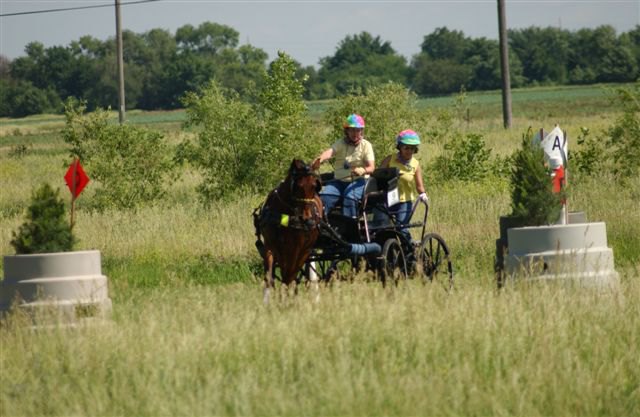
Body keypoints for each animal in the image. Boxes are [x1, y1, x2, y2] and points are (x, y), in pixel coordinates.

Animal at [254, 159, 324, 302]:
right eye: (299, 186)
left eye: (315, 186)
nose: (307, 220)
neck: (283, 215)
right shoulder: (271, 245)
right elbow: (269, 275)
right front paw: (267, 301)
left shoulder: (296, 248)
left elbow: (288, 274)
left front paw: (285, 298)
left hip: (305, 250)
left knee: (292, 272)